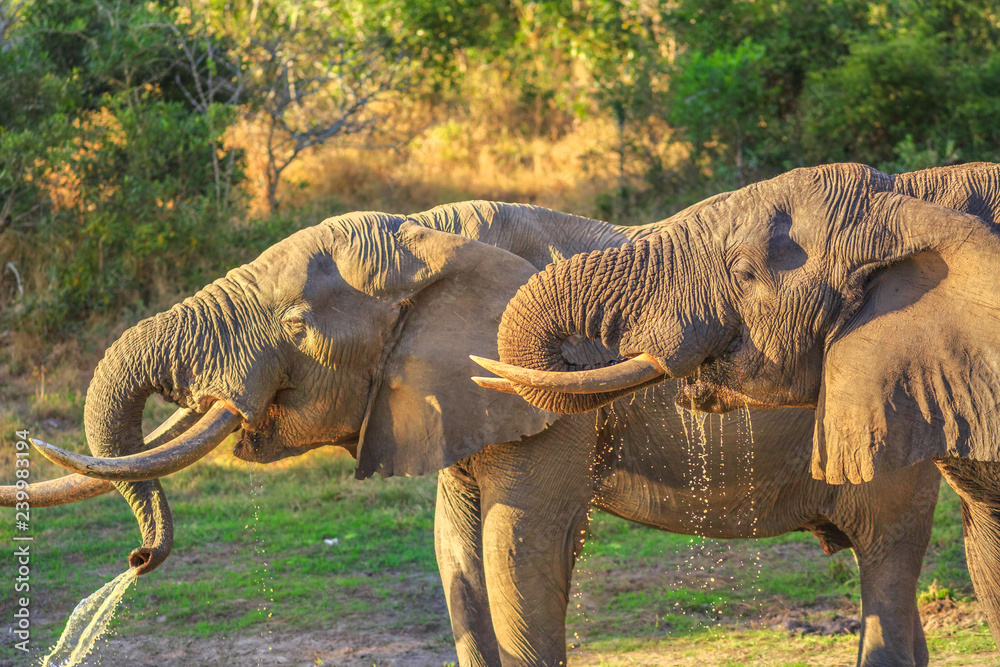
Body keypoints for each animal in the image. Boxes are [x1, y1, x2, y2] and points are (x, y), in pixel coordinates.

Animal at [3, 200, 940, 666]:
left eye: (298, 328)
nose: (138, 557)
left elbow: (514, 546)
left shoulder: (544, 382)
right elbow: (455, 544)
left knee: (889, 561)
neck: (431, 234)